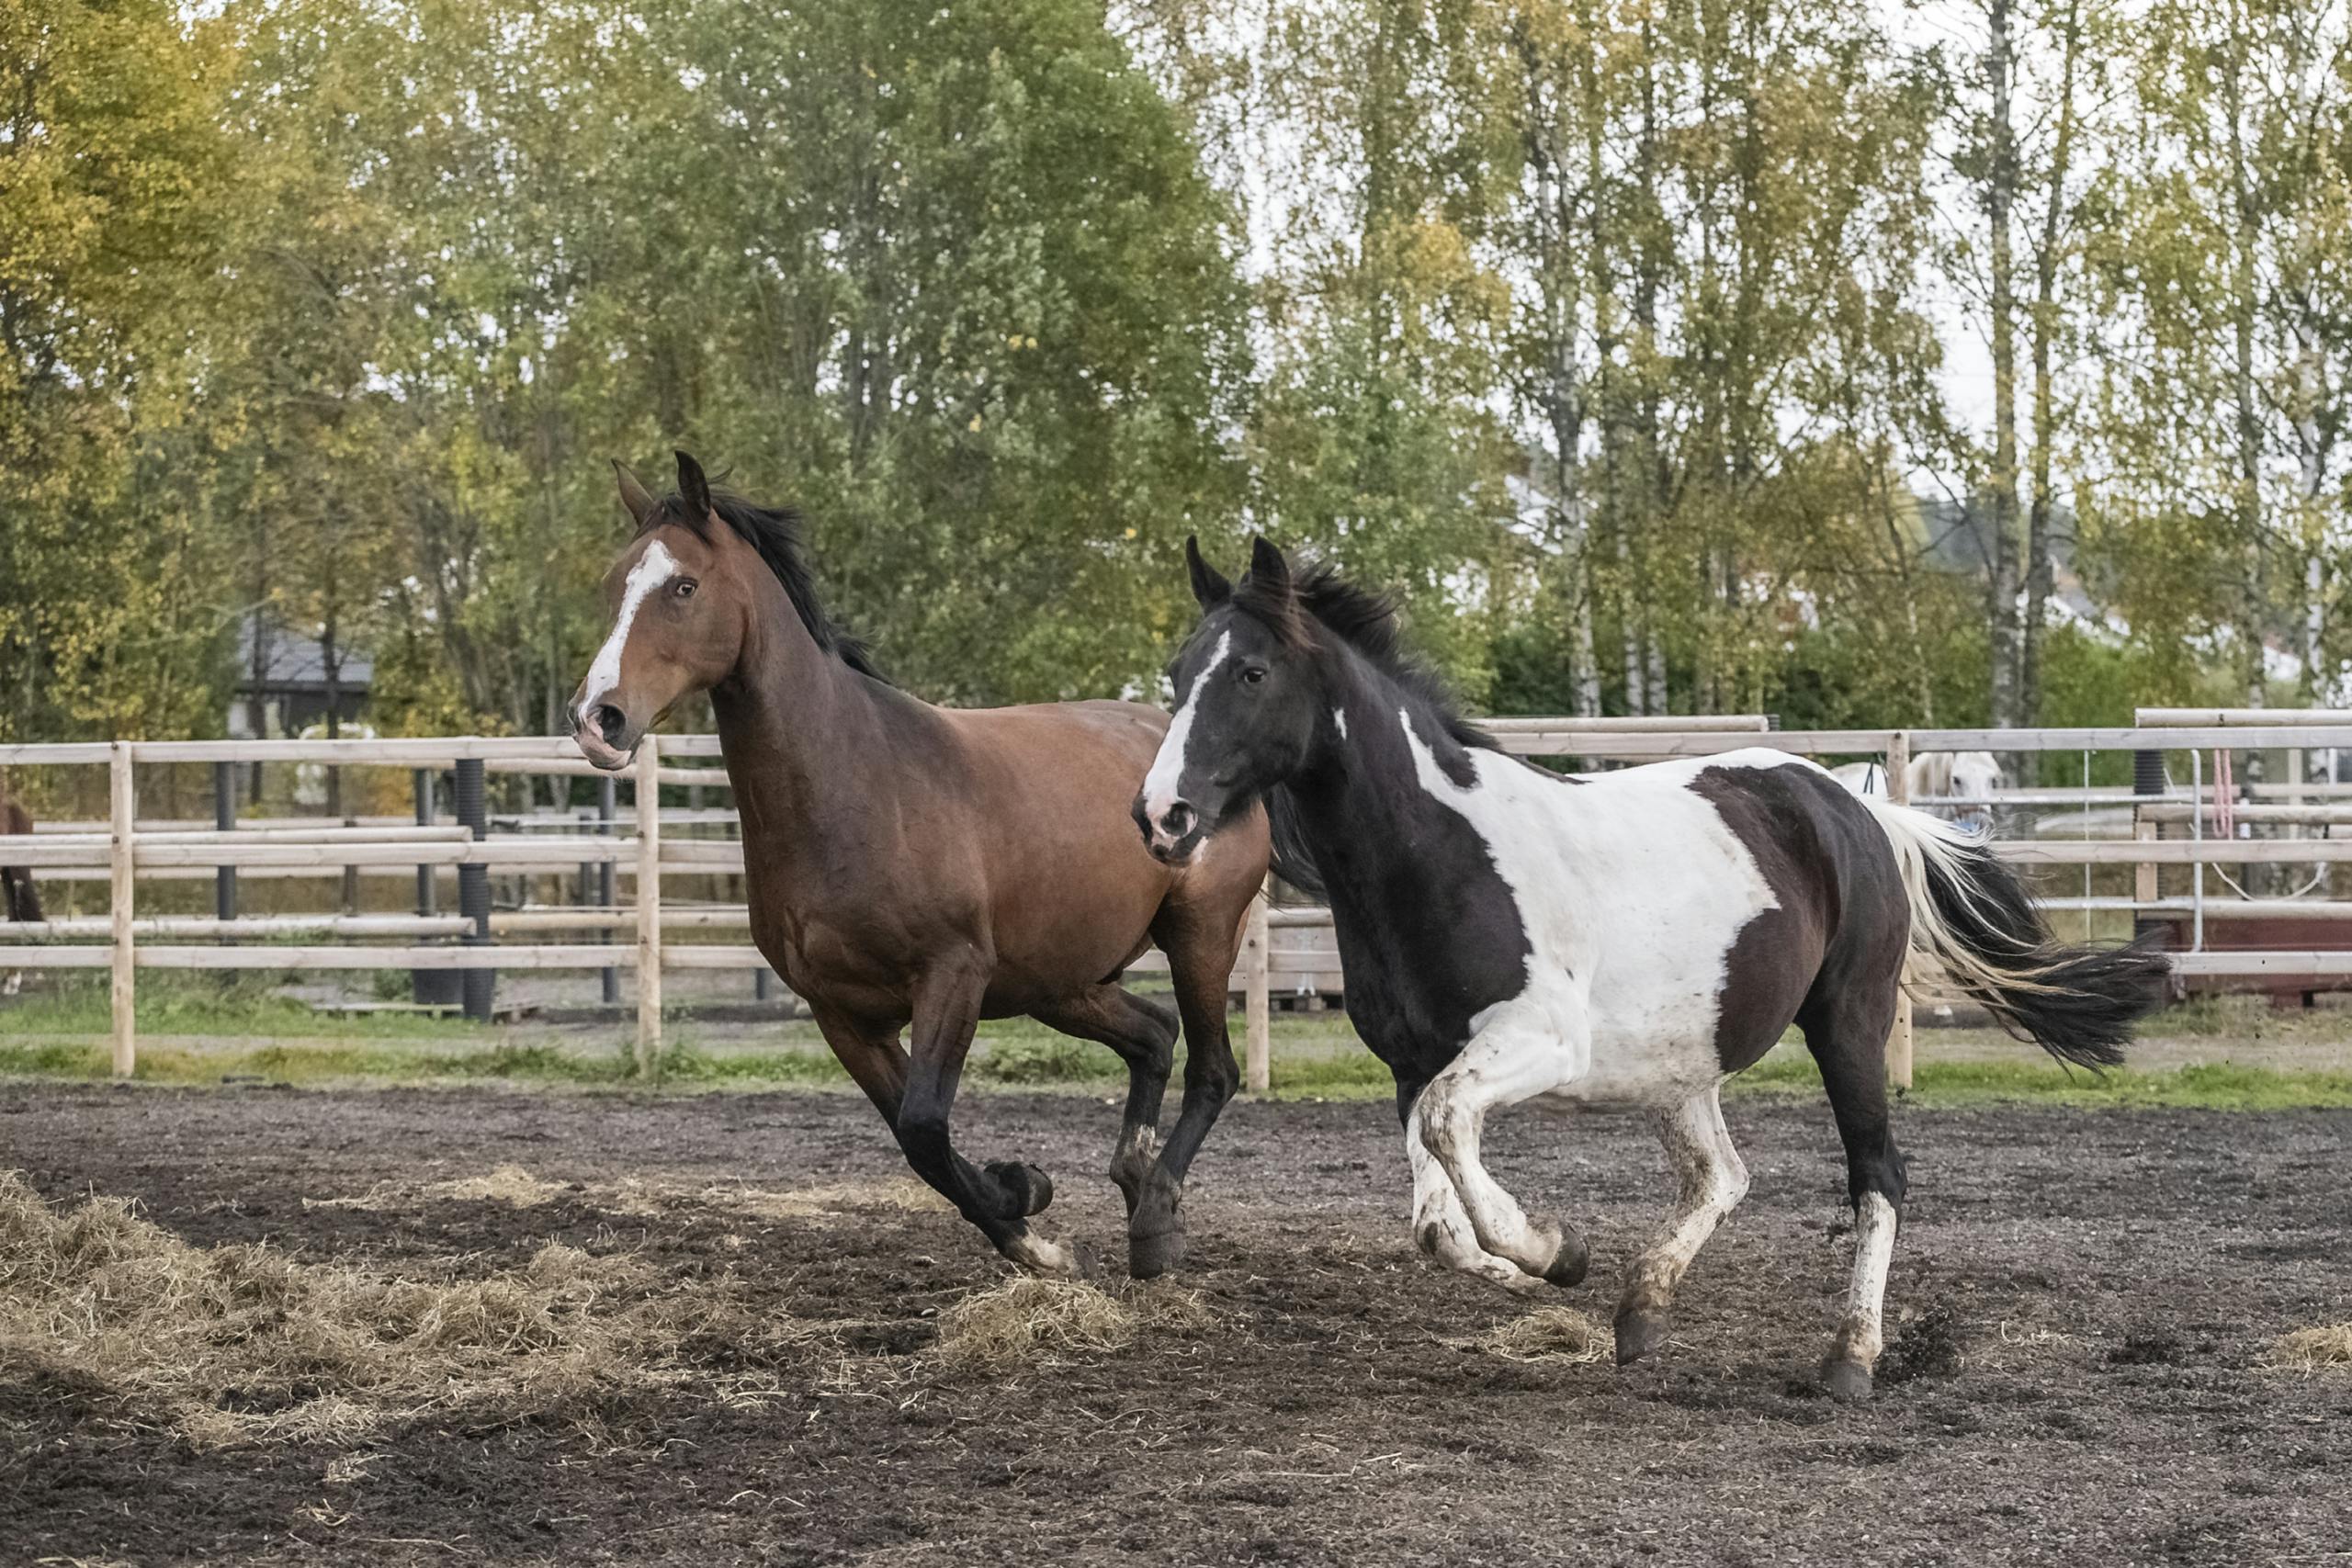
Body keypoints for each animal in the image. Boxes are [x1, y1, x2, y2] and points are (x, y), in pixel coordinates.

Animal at [567, 452, 1271, 1278]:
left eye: (683, 586)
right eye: (615, 581)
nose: (598, 718)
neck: (855, 786)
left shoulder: (952, 975)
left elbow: (926, 1124)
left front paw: (1027, 1206)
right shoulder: (840, 1012)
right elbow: (914, 1140)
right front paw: (1024, 1208)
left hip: (1200, 935)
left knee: (1212, 1069)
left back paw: (1156, 1218)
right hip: (1059, 980)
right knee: (1155, 1036)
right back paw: (1137, 1183)